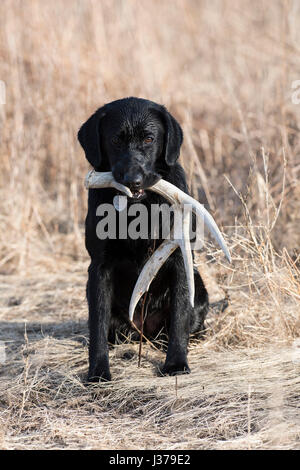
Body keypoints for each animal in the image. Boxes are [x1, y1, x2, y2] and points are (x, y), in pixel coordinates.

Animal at [77, 96, 209, 382]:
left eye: (149, 139)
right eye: (116, 140)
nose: (133, 180)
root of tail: (144, 329)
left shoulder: (179, 258)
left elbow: (180, 316)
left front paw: (176, 364)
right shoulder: (99, 268)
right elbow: (97, 325)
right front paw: (98, 371)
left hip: (200, 290)